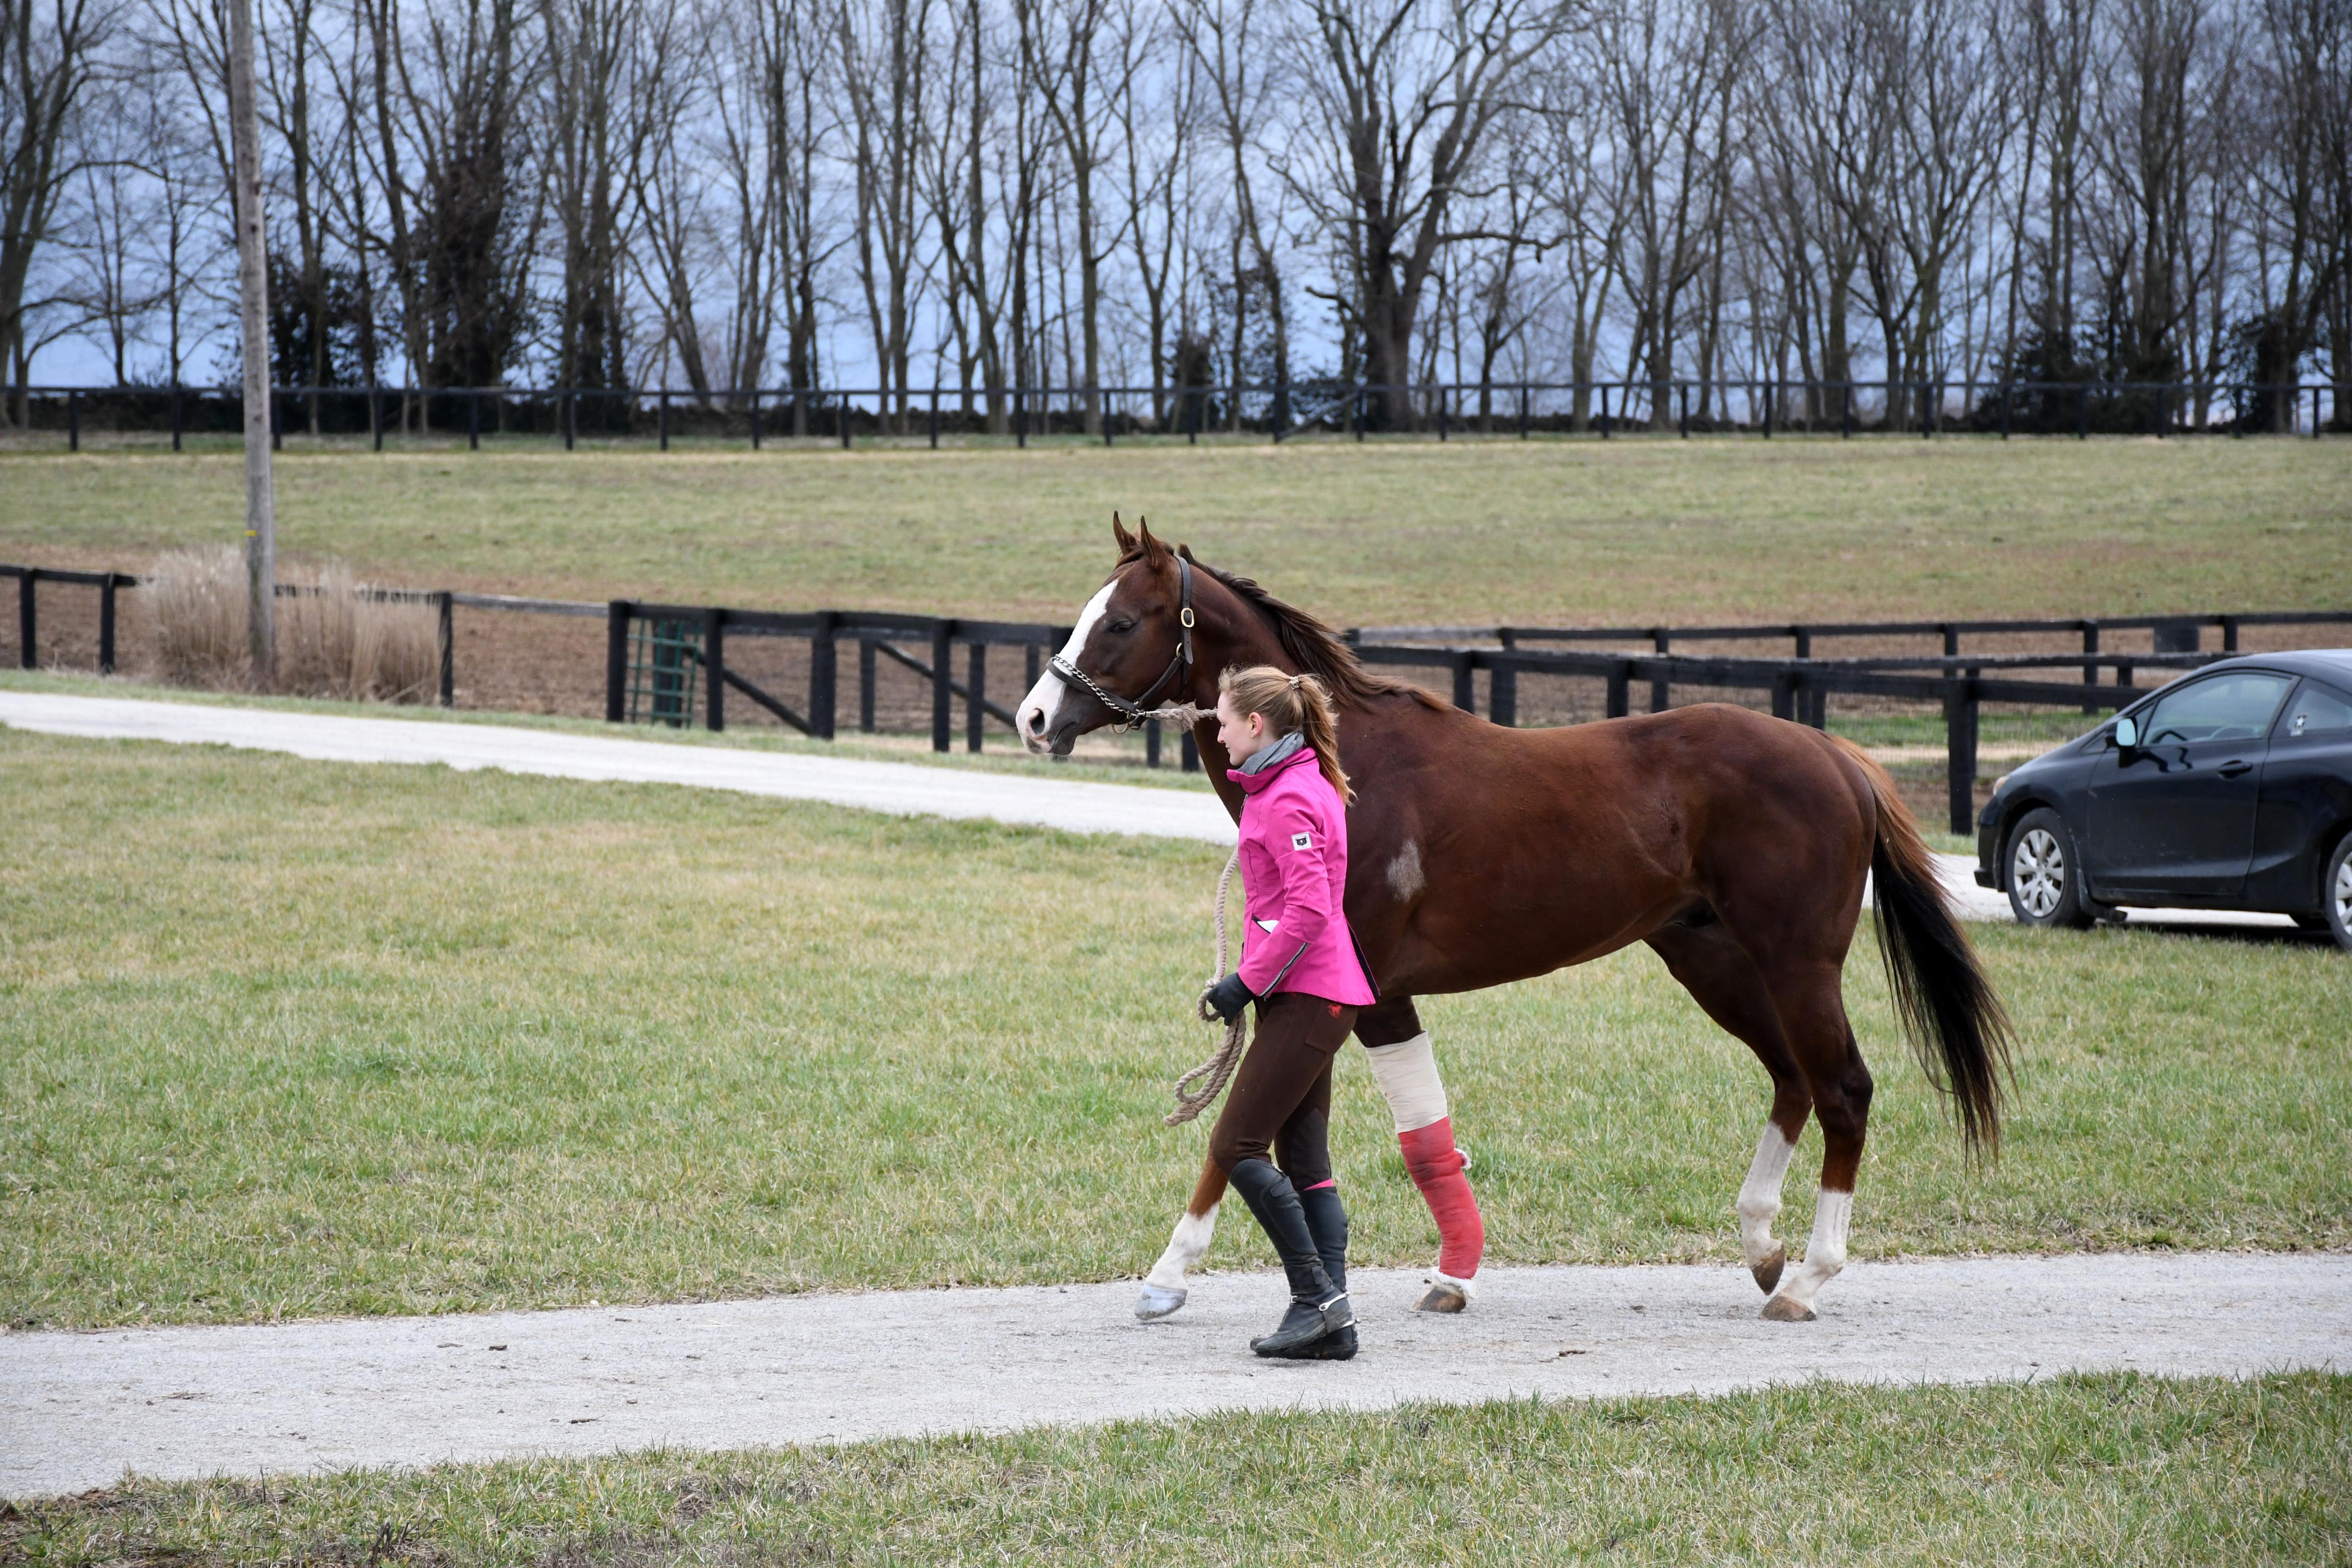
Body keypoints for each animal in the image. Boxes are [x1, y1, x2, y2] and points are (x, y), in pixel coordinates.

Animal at [1021, 522, 2013, 1316]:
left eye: (1121, 620)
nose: (1035, 716)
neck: (1345, 771)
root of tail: (1838, 755)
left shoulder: (1336, 997)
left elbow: (1243, 1134)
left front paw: (1169, 1272)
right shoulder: (1357, 999)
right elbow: (1405, 1135)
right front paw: (1445, 1274)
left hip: (1797, 964)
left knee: (1843, 1088)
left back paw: (1806, 1276)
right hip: (1714, 961)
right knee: (1792, 1080)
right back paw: (1762, 1244)